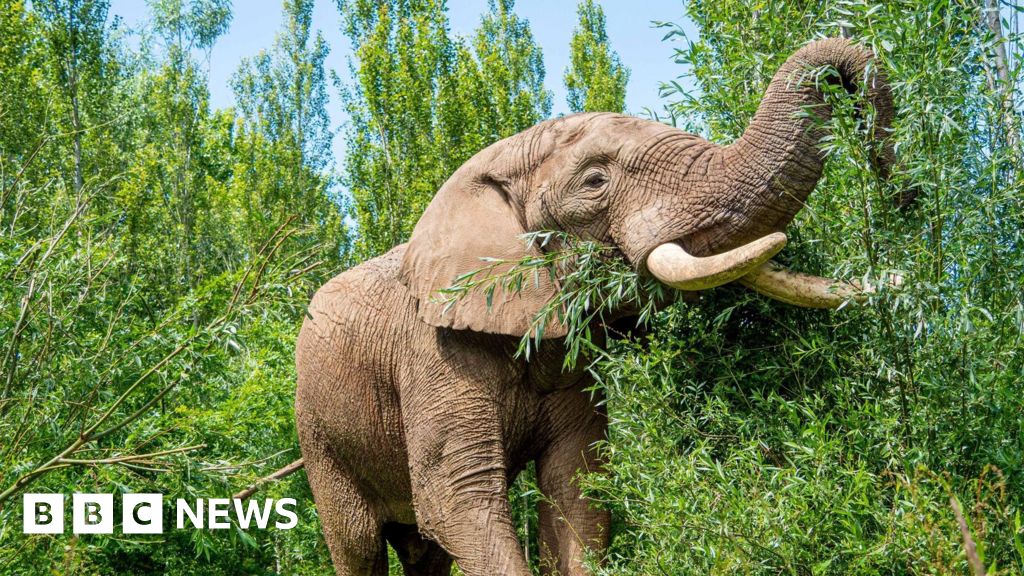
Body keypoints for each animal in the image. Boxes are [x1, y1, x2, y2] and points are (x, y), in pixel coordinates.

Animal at [295, 38, 901, 576]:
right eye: (593, 182)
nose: (889, 175)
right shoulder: (434, 351)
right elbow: (457, 498)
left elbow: (578, 485)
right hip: (320, 432)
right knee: (358, 544)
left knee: (424, 554)